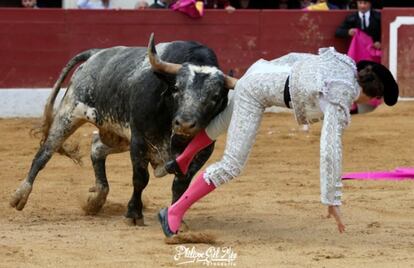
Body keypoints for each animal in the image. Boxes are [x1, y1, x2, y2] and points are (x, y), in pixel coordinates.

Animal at [9, 33, 236, 226]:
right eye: (176, 88)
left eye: (215, 96)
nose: (185, 124)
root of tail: (96, 54)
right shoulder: (139, 140)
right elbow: (140, 179)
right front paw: (133, 214)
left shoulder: (202, 151)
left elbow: (181, 184)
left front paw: (175, 216)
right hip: (70, 112)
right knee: (45, 152)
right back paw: (20, 195)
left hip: (117, 137)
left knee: (96, 148)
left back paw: (97, 198)